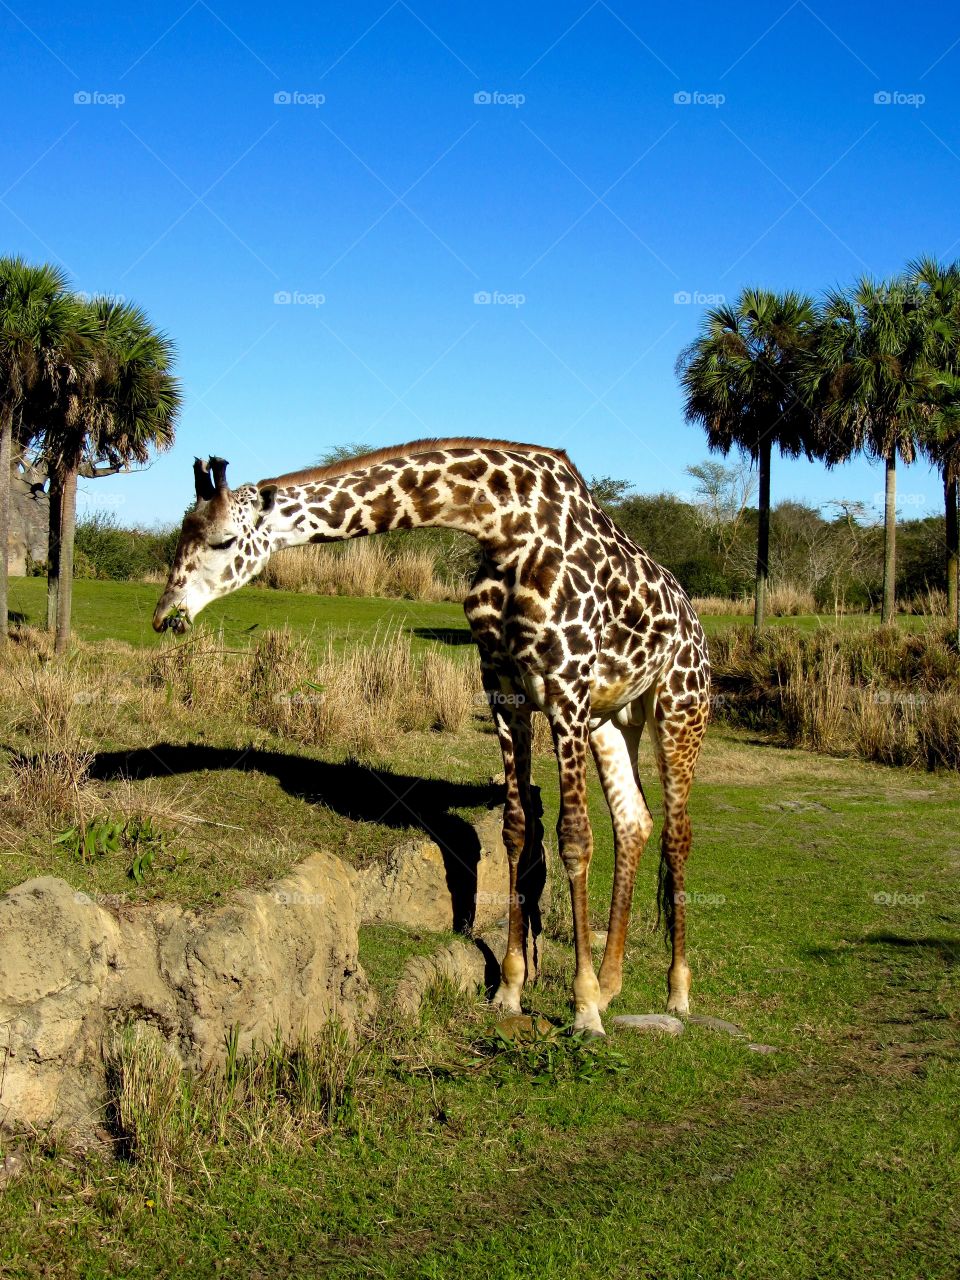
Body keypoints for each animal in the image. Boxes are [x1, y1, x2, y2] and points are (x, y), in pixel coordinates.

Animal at [156, 437, 716, 1029]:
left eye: (223, 540)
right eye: (183, 531)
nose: (166, 615)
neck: (503, 527)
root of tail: (695, 621)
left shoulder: (566, 686)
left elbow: (573, 838)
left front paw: (583, 1007)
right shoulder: (504, 688)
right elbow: (516, 830)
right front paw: (511, 988)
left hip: (680, 707)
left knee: (677, 833)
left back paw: (674, 993)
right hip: (614, 717)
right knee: (634, 821)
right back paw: (613, 985)